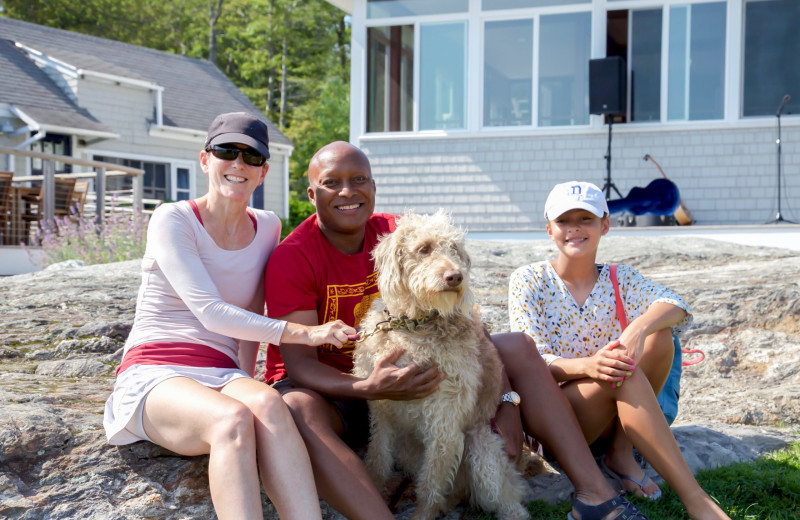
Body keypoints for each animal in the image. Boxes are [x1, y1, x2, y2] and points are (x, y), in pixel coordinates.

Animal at [354, 209, 528, 516]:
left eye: (455, 249)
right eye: (424, 248)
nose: (455, 276)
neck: (412, 325)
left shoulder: (444, 423)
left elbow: (431, 483)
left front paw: (423, 514)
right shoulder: (382, 412)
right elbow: (377, 461)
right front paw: (372, 489)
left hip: (482, 447)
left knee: (510, 504)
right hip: (409, 447)